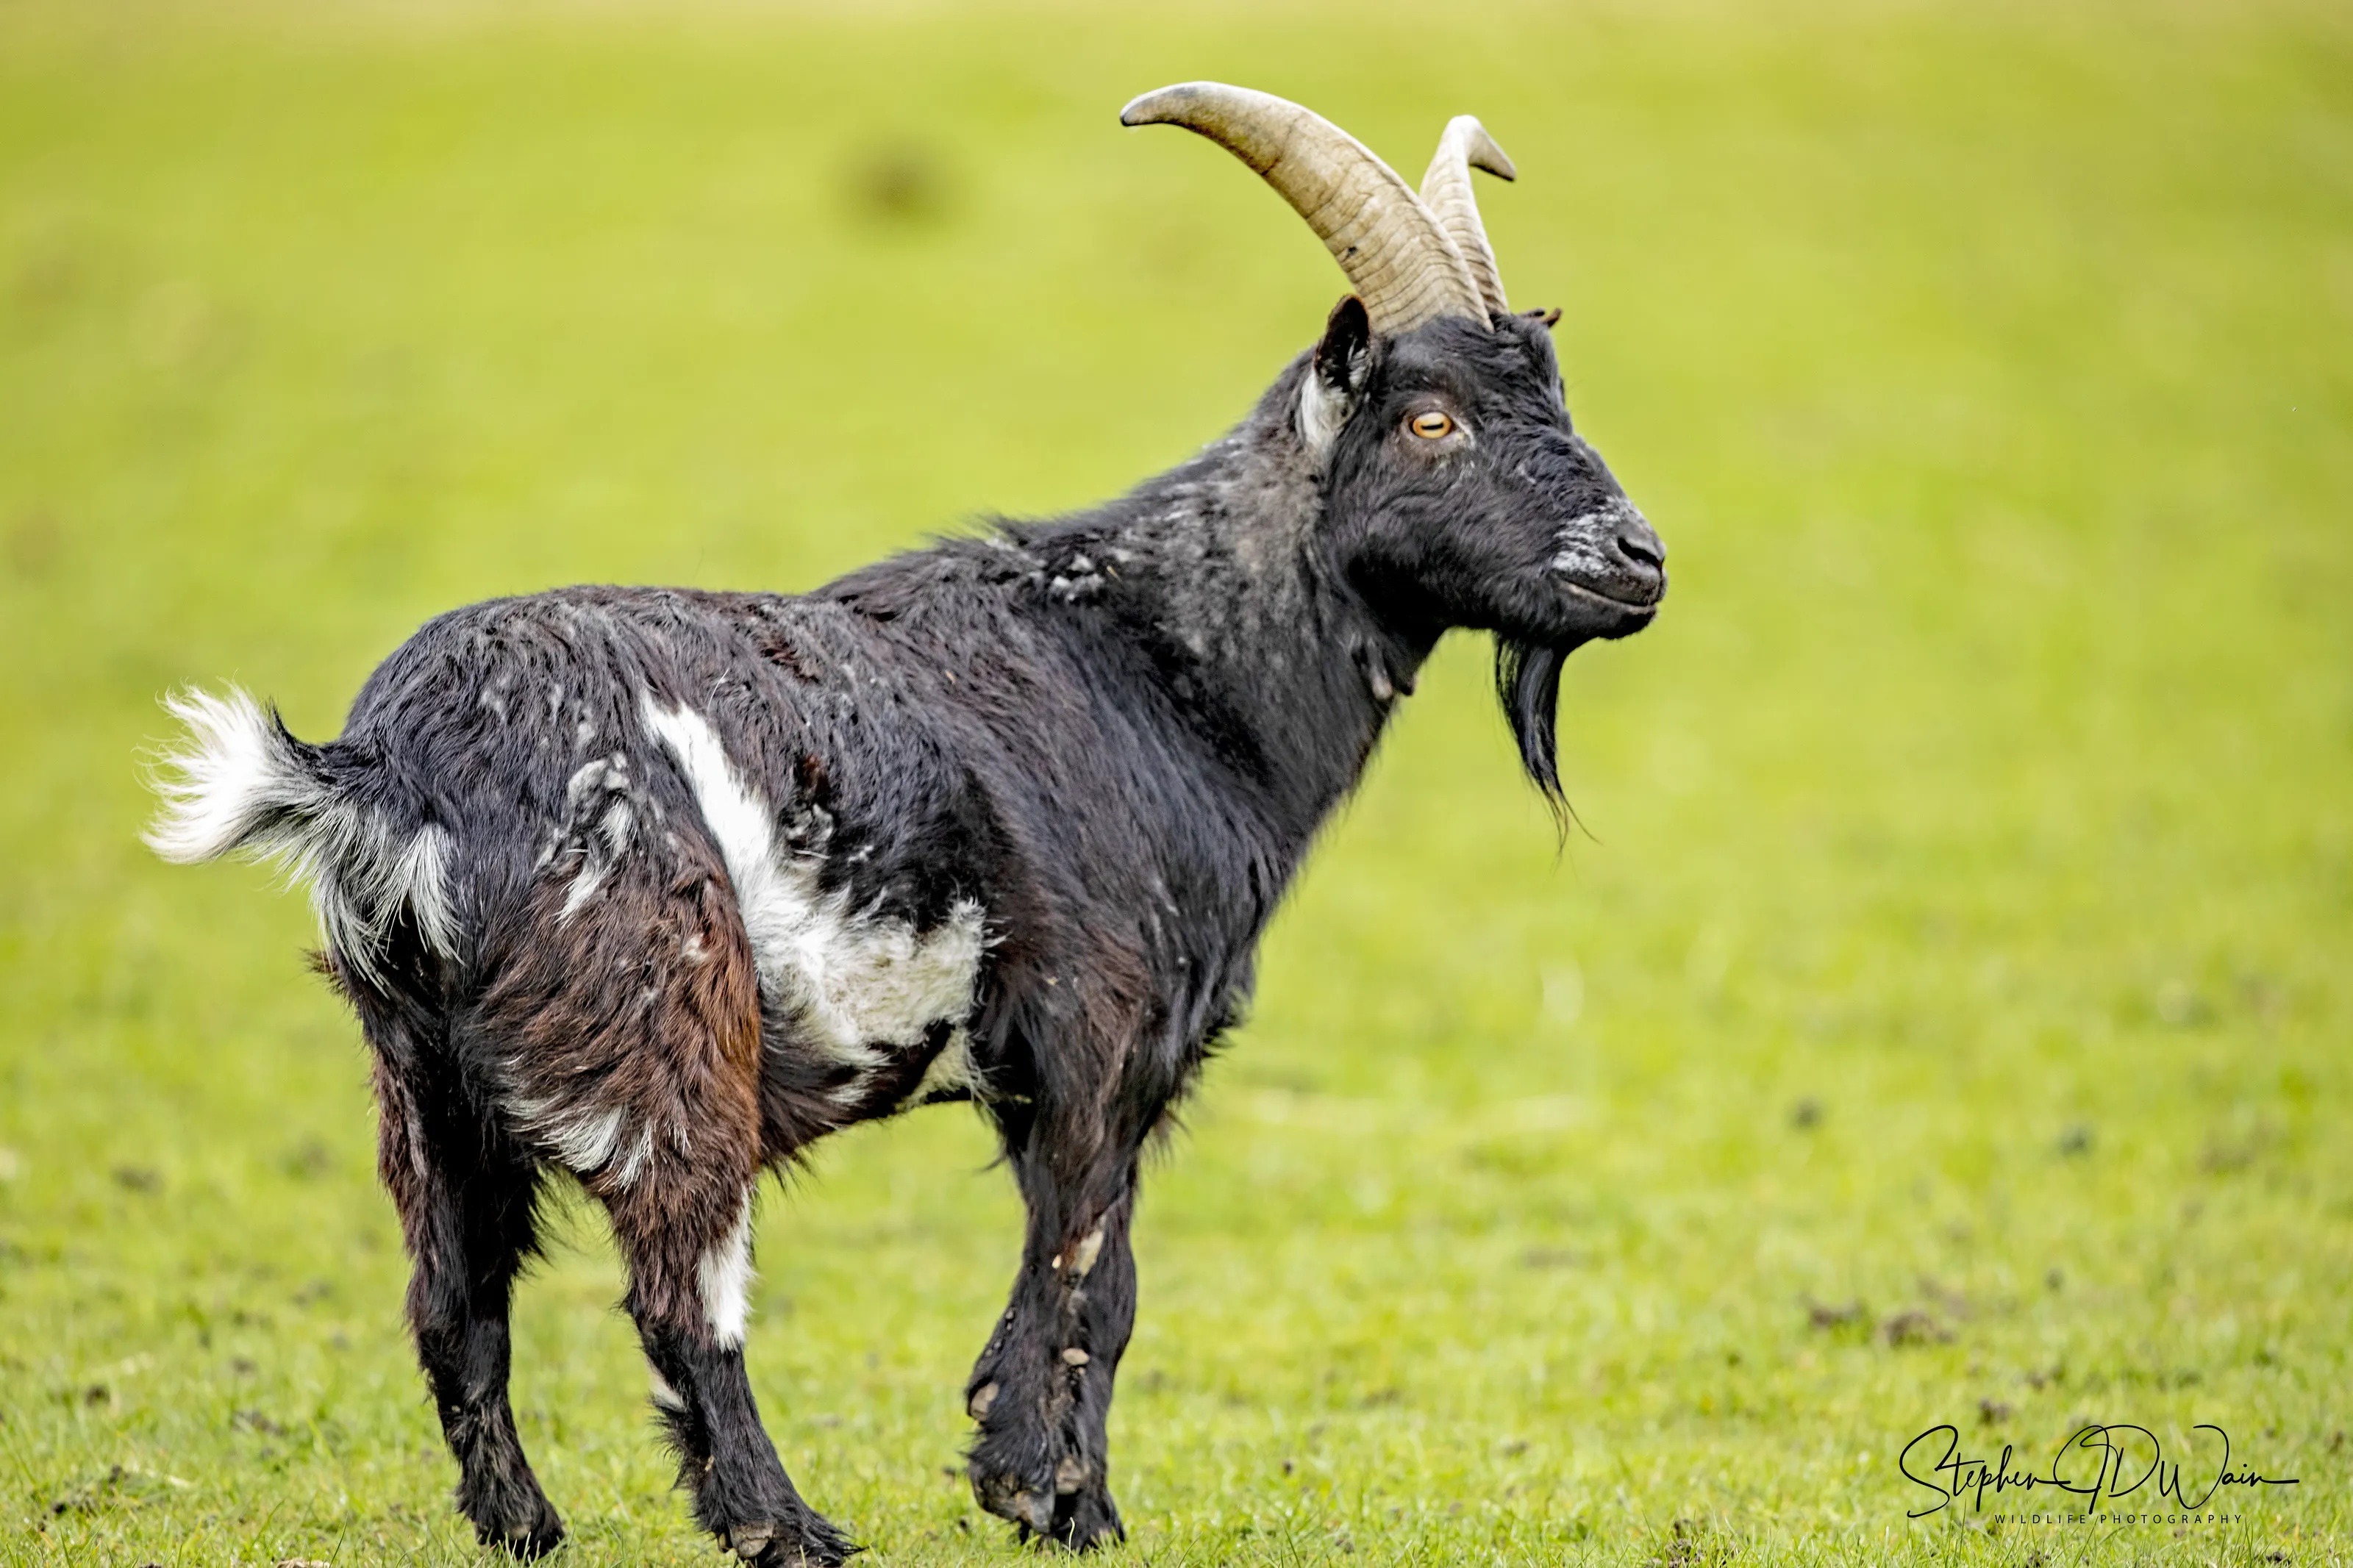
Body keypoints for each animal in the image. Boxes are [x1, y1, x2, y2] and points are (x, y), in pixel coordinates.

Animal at [146, 83, 1665, 1562]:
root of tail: (392, 763)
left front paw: (1058, 1489)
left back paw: (529, 1526)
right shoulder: (1099, 1029)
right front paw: (1048, 1496)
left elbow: (1089, 1270)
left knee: (455, 1301)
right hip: (664, 1023)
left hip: (421, 1071)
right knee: (683, 1287)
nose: (1638, 559)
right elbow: (1092, 1268)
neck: (1160, 660)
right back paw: (786, 1524)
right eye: (1432, 420)